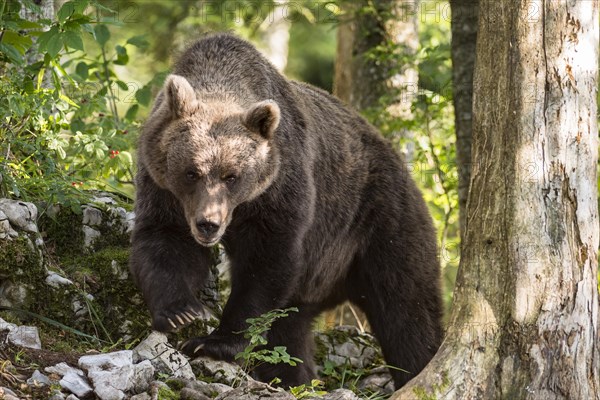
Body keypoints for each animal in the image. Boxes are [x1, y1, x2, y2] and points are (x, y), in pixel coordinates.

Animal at [130, 32, 440, 390]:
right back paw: (295, 376)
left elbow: (266, 261)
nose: (208, 224)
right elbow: (165, 239)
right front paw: (179, 312)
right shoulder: (163, 188)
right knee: (291, 330)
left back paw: (418, 366)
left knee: (407, 309)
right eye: (192, 172)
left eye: (232, 175)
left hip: (380, 219)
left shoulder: (281, 186)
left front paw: (216, 342)